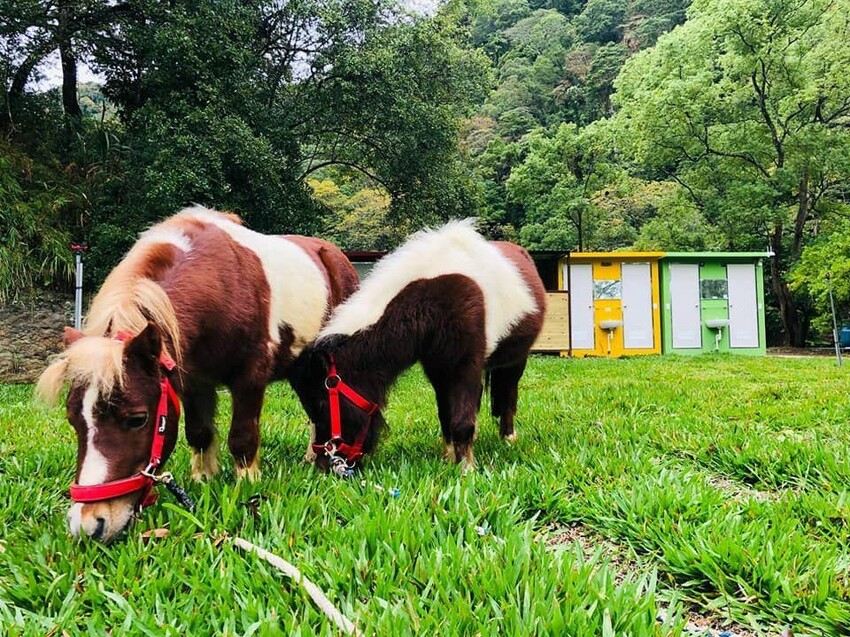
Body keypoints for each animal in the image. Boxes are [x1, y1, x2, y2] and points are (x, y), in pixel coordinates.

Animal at [36, 206, 359, 542]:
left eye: (137, 419)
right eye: (73, 419)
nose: (89, 524)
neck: (221, 286)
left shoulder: (250, 378)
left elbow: (242, 436)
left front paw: (247, 481)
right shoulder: (192, 382)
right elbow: (199, 432)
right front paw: (203, 478)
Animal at [288, 219, 546, 476]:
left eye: (321, 405)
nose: (324, 466)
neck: (436, 294)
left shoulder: (465, 364)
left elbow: (462, 420)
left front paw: (466, 469)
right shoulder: (438, 368)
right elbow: (446, 414)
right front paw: (450, 457)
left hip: (516, 361)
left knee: (509, 395)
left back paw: (508, 437)